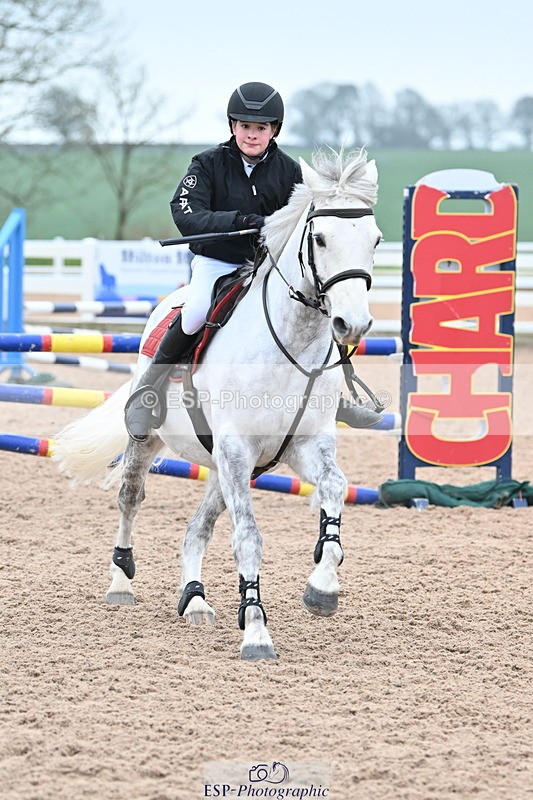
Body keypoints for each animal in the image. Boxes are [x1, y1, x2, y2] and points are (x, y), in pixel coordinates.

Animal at [53, 148, 382, 661]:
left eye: (376, 240)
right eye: (321, 238)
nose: (354, 324)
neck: (291, 343)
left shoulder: (302, 446)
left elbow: (334, 489)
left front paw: (322, 588)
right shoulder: (235, 449)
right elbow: (248, 538)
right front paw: (256, 631)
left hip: (234, 467)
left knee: (198, 527)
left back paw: (194, 599)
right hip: (155, 442)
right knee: (131, 498)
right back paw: (120, 582)